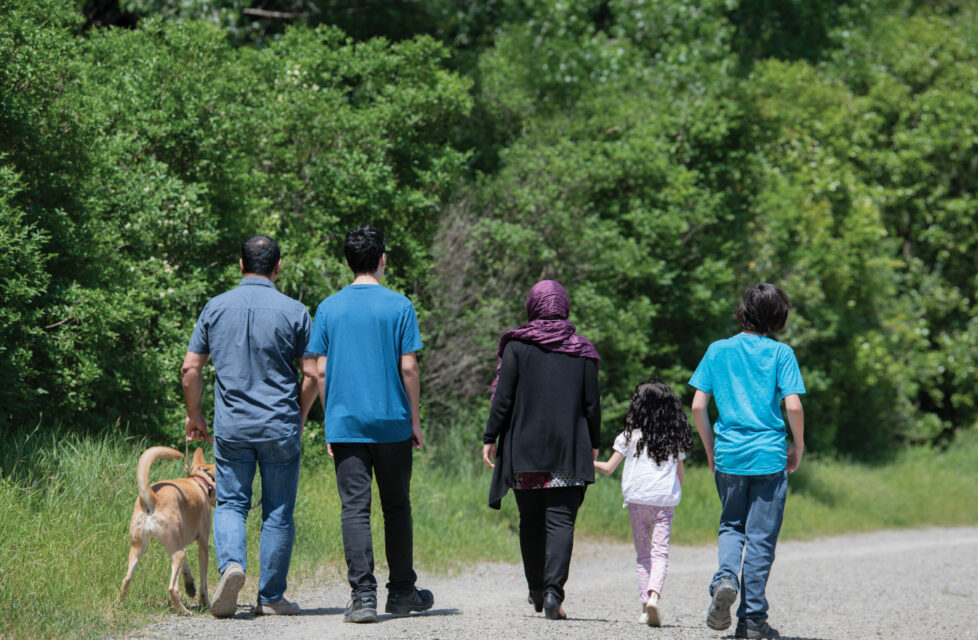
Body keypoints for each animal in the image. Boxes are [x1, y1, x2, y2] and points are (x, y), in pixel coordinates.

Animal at [118, 444, 215, 616]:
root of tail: (153, 499)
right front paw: (205, 602)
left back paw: (119, 604)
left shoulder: (176, 543)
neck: (200, 481)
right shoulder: (203, 544)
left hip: (139, 547)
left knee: (126, 579)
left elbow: (186, 568)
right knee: (172, 588)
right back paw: (184, 610)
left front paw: (190, 586)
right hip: (178, 551)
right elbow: (204, 582)